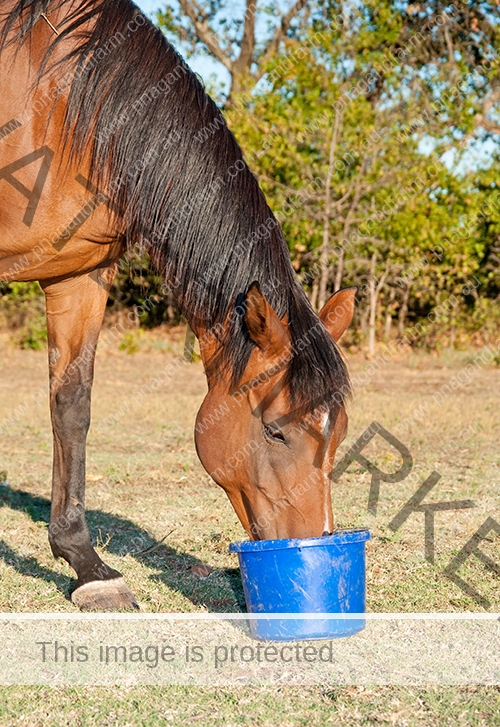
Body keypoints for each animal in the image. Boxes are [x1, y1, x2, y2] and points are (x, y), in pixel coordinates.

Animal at [1, 0, 358, 612]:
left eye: (339, 433)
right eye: (275, 432)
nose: (316, 541)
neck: (58, 100)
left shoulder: (78, 274)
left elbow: (70, 407)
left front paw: (87, 566)